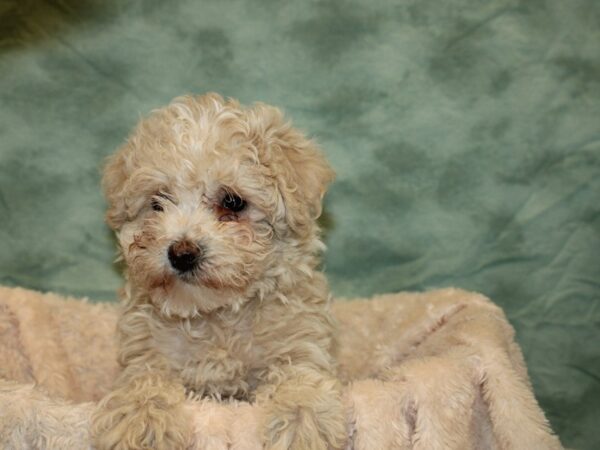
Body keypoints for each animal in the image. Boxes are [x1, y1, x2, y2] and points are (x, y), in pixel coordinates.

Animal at [92, 94, 350, 450]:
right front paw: (141, 418)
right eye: (158, 202)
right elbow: (143, 379)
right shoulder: (147, 351)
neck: (216, 316)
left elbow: (298, 376)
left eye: (232, 202)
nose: (182, 253)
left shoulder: (300, 341)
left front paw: (304, 419)